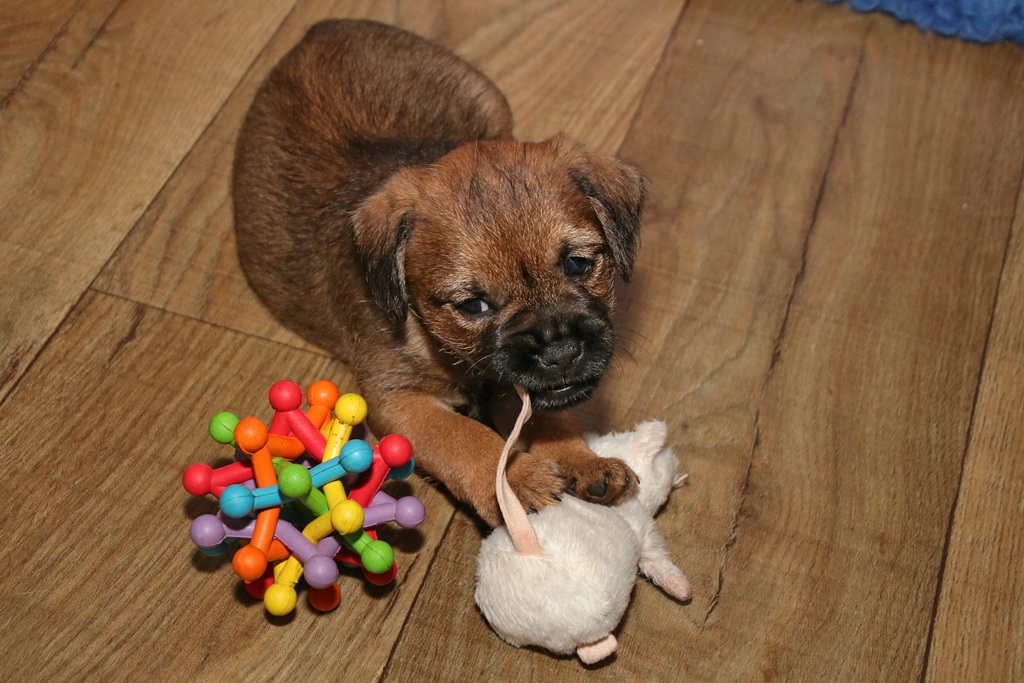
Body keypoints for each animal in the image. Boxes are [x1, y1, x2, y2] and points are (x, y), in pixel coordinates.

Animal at [233, 19, 645, 527]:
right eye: (472, 305)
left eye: (577, 264)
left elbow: (548, 410)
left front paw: (583, 460)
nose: (562, 352)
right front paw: (514, 481)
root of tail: (321, 28)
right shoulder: (399, 400)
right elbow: (462, 436)